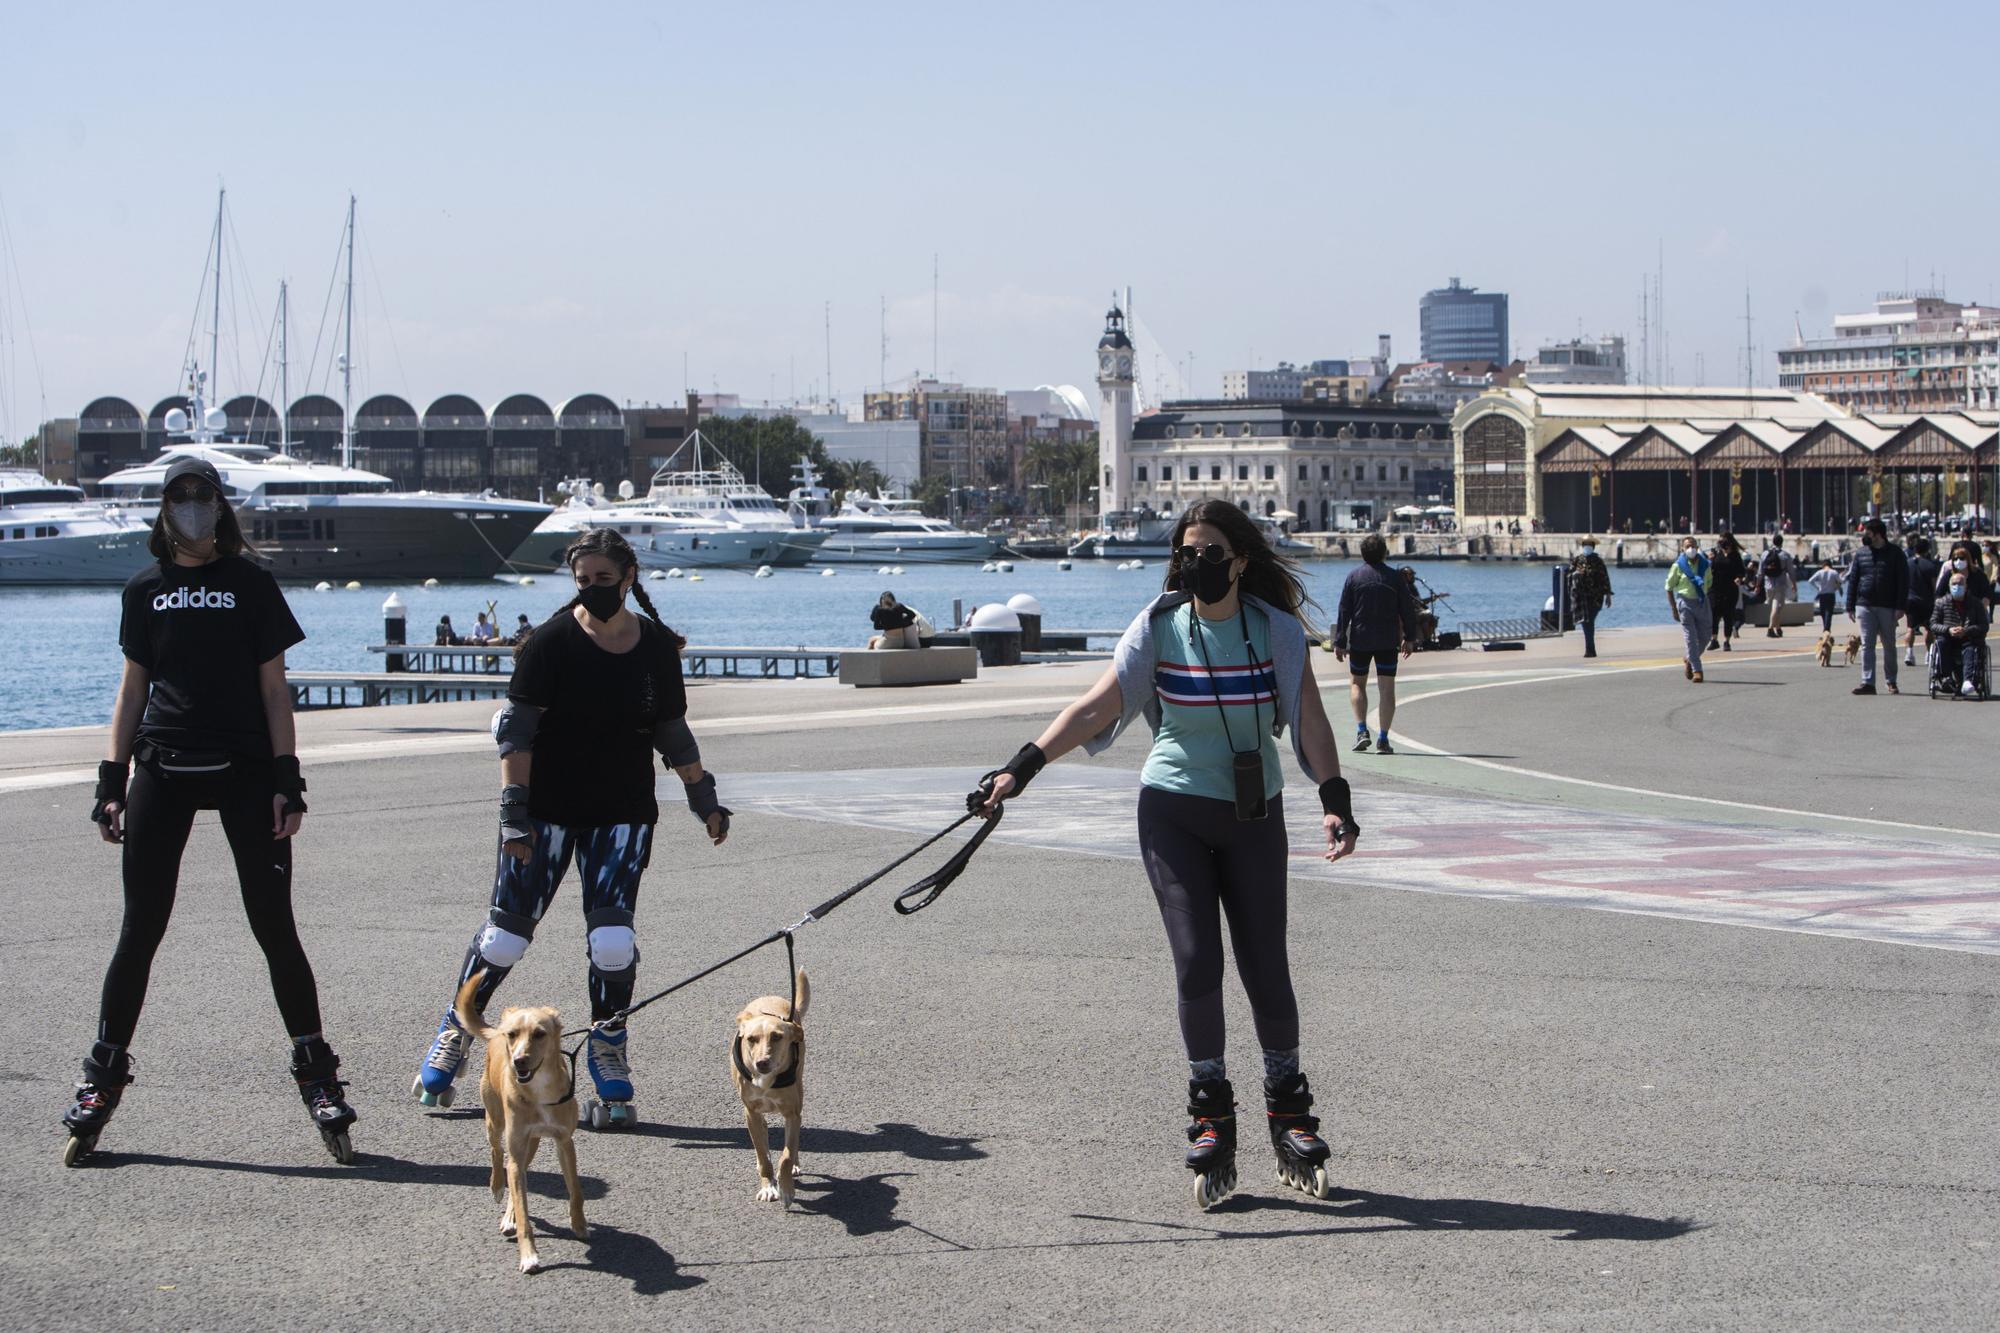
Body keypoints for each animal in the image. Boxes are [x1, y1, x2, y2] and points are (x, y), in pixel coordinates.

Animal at [450, 972, 584, 1272]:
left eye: (540, 1034)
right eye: (513, 1035)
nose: (519, 1061)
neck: (539, 1091)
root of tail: (496, 1029)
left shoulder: (564, 1142)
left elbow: (575, 1189)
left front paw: (579, 1224)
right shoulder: (516, 1144)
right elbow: (524, 1211)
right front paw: (529, 1255)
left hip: (530, 1144)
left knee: (517, 1172)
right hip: (496, 1122)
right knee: (498, 1154)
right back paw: (498, 1187)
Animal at [732, 964, 808, 1200]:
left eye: (777, 1037)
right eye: (750, 1039)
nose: (762, 1062)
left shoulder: (792, 1113)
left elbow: (786, 1155)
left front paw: (786, 1188)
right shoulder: (751, 1114)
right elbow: (763, 1156)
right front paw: (768, 1185)